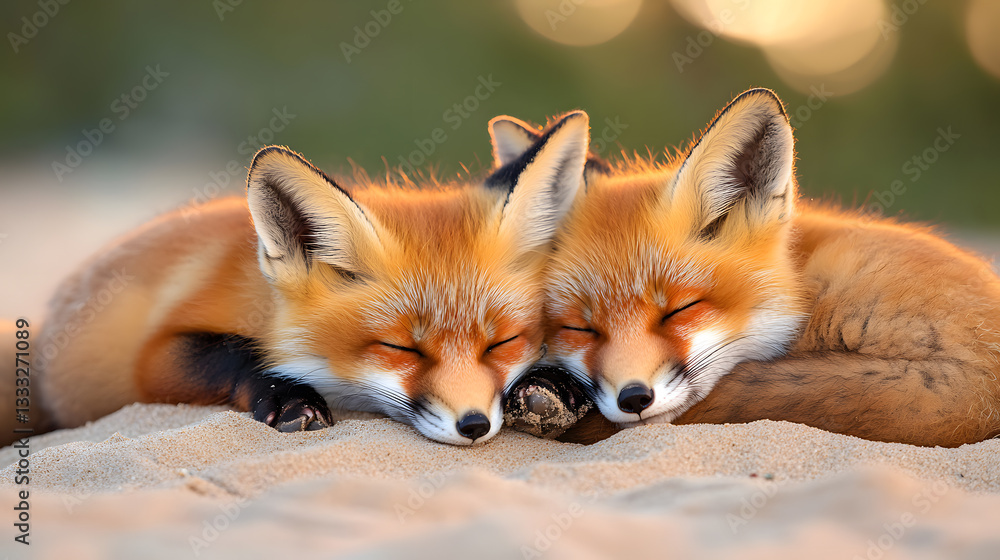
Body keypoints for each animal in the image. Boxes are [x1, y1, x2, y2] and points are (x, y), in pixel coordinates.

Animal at [21, 111, 591, 446]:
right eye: (401, 348)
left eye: (503, 343)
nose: (474, 425)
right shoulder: (150, 357)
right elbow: (236, 352)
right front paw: (289, 398)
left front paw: (553, 387)